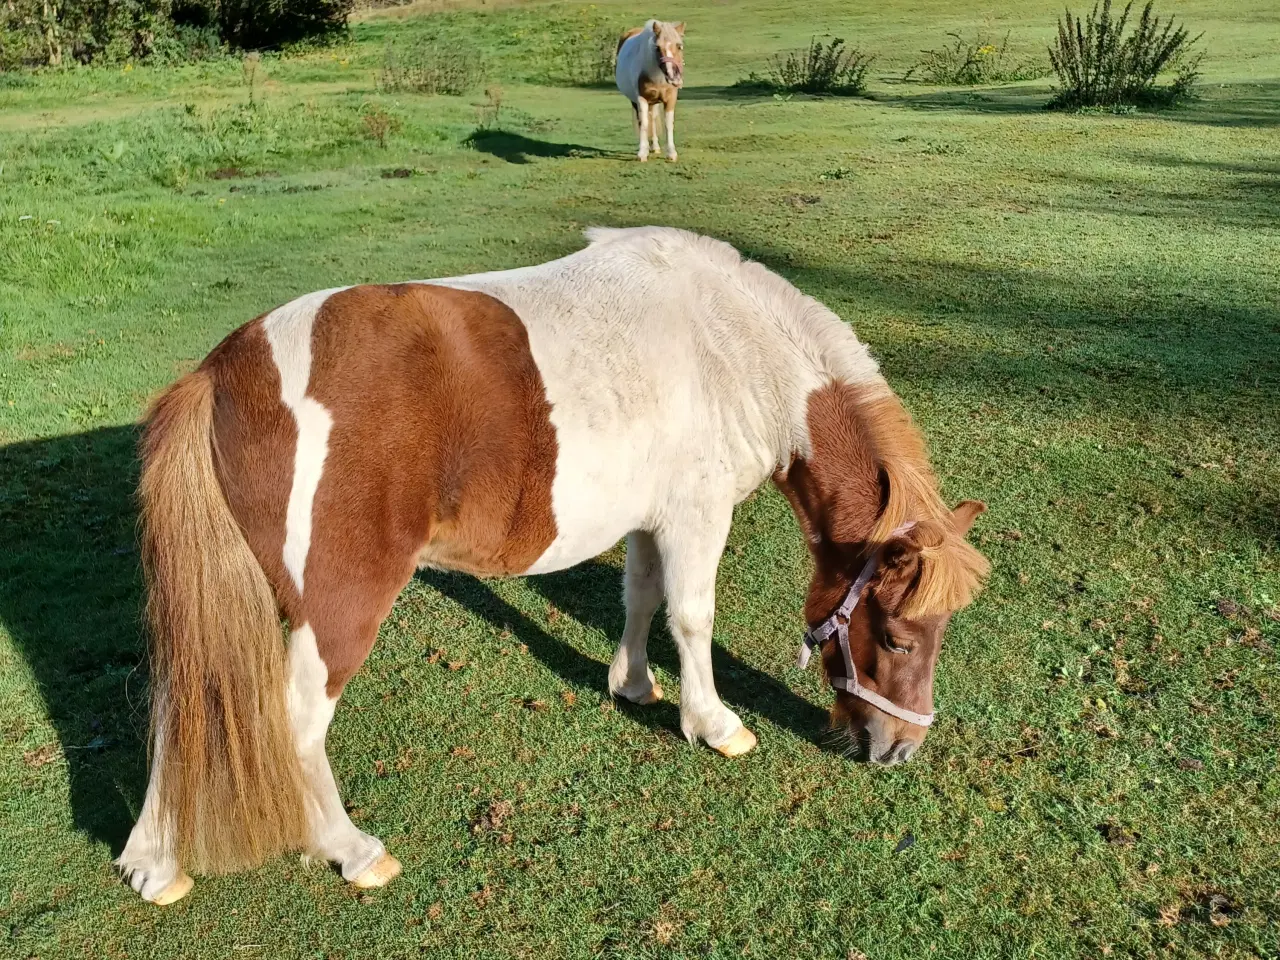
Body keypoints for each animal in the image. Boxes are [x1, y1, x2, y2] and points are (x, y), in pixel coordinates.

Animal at [117, 229, 988, 906]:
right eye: (901, 638)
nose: (899, 749)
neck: (730, 345)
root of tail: (222, 375)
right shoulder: (697, 515)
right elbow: (691, 616)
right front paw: (713, 723)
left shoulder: (650, 518)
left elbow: (642, 599)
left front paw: (633, 685)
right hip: (337, 612)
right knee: (296, 720)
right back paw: (350, 849)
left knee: (180, 701)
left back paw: (153, 864)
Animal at [614, 19, 686, 161]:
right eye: (657, 48)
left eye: (679, 46)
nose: (672, 76)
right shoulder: (641, 99)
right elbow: (644, 124)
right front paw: (642, 152)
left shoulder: (670, 99)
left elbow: (668, 124)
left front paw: (671, 153)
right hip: (636, 101)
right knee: (643, 121)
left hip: (653, 103)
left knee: (653, 118)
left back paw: (655, 147)